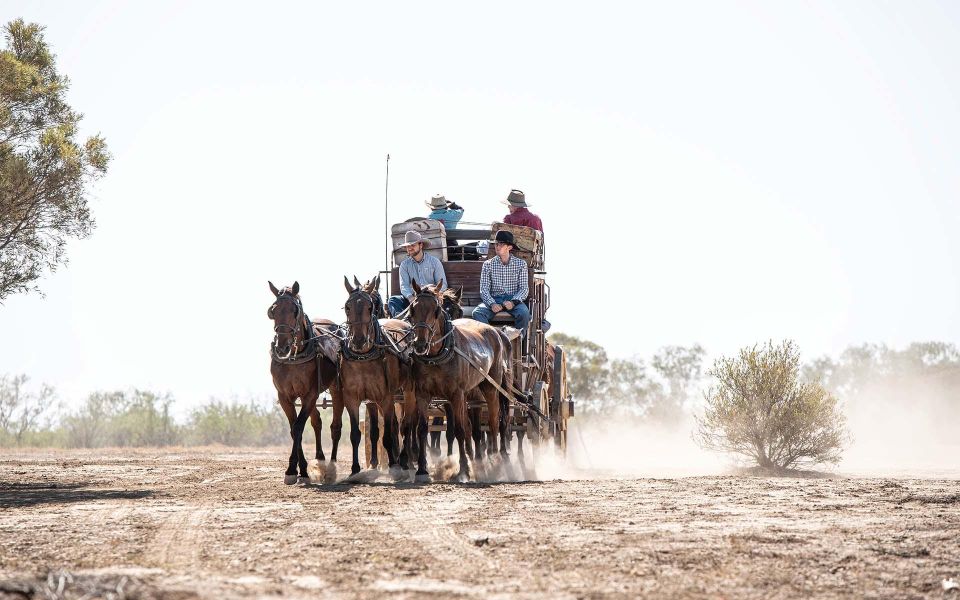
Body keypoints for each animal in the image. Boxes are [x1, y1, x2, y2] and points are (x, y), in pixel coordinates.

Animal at [266, 280, 342, 482]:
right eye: (273, 311)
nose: (282, 347)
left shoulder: (309, 394)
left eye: (295, 310)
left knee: (335, 427)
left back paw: (331, 467)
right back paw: (320, 459)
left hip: (336, 388)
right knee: (317, 421)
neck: (295, 357)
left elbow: (299, 426)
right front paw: (301, 470)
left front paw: (292, 469)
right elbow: (294, 429)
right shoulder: (285, 396)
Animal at [332, 274, 414, 476]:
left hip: (408, 392)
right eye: (347, 306)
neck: (364, 357)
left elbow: (388, 434)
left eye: (370, 307)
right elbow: (360, 433)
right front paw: (357, 468)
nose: (358, 340)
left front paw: (394, 466)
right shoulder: (353, 398)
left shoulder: (386, 397)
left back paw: (406, 460)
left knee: (407, 425)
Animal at [404, 282, 512, 482]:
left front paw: (463, 470)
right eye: (412, 309)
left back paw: (495, 461)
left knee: (494, 423)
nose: (420, 344)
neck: (437, 357)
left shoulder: (456, 395)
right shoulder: (422, 395)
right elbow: (422, 429)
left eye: (436, 310)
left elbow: (461, 430)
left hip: (491, 388)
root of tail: (496, 332)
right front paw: (422, 470)